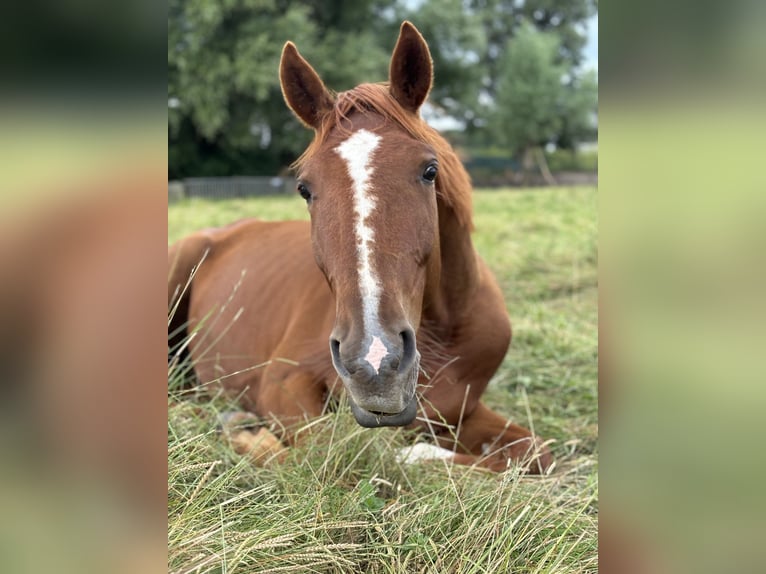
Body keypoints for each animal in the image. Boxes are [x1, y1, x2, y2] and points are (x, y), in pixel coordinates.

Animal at [166, 20, 552, 474]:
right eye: (304, 188)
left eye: (429, 170)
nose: (374, 361)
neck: (444, 331)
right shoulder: (282, 382)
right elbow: (334, 453)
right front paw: (243, 432)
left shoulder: (462, 411)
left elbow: (534, 452)